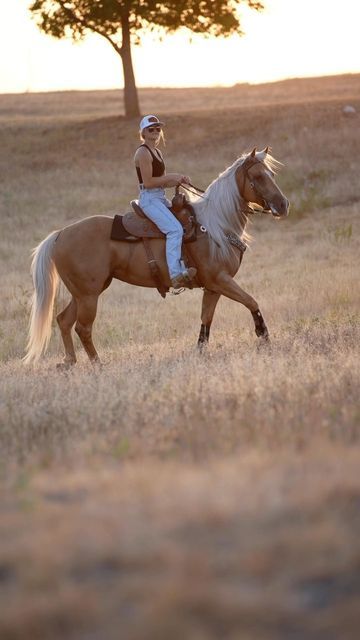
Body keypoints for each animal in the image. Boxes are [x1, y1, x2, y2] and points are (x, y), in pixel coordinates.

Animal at [23, 148, 290, 368]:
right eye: (258, 177)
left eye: (271, 174)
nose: (283, 204)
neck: (216, 225)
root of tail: (60, 234)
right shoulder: (221, 280)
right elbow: (251, 301)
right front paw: (264, 337)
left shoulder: (213, 287)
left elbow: (206, 320)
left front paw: (200, 352)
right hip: (89, 295)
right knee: (83, 327)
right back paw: (98, 364)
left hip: (83, 293)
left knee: (63, 320)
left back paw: (69, 361)